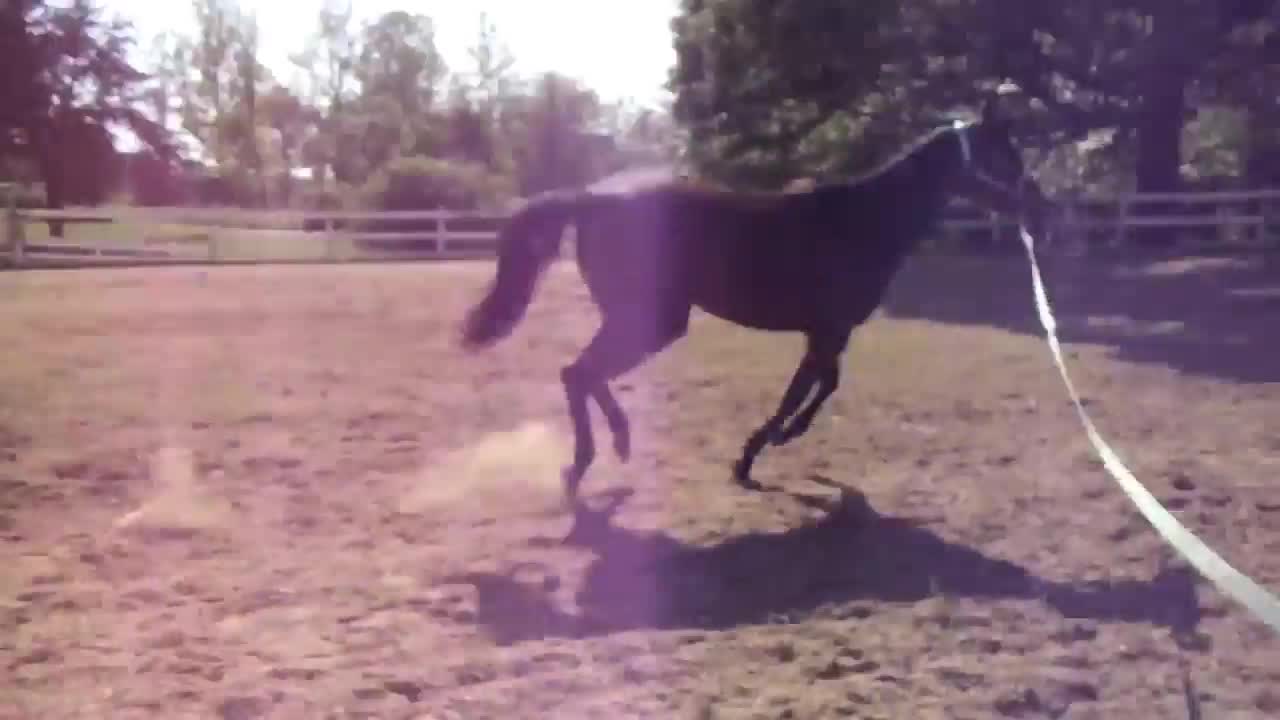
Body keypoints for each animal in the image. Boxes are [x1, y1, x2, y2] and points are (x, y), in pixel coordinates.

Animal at [460, 101, 1049, 504]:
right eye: (1003, 155)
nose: (1042, 208)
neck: (864, 221)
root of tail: (591, 198)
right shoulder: (828, 330)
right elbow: (801, 393)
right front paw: (749, 458)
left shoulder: (828, 330)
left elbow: (824, 385)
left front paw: (780, 441)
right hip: (653, 320)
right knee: (579, 372)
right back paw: (589, 461)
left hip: (648, 320)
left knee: (581, 374)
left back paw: (604, 455)